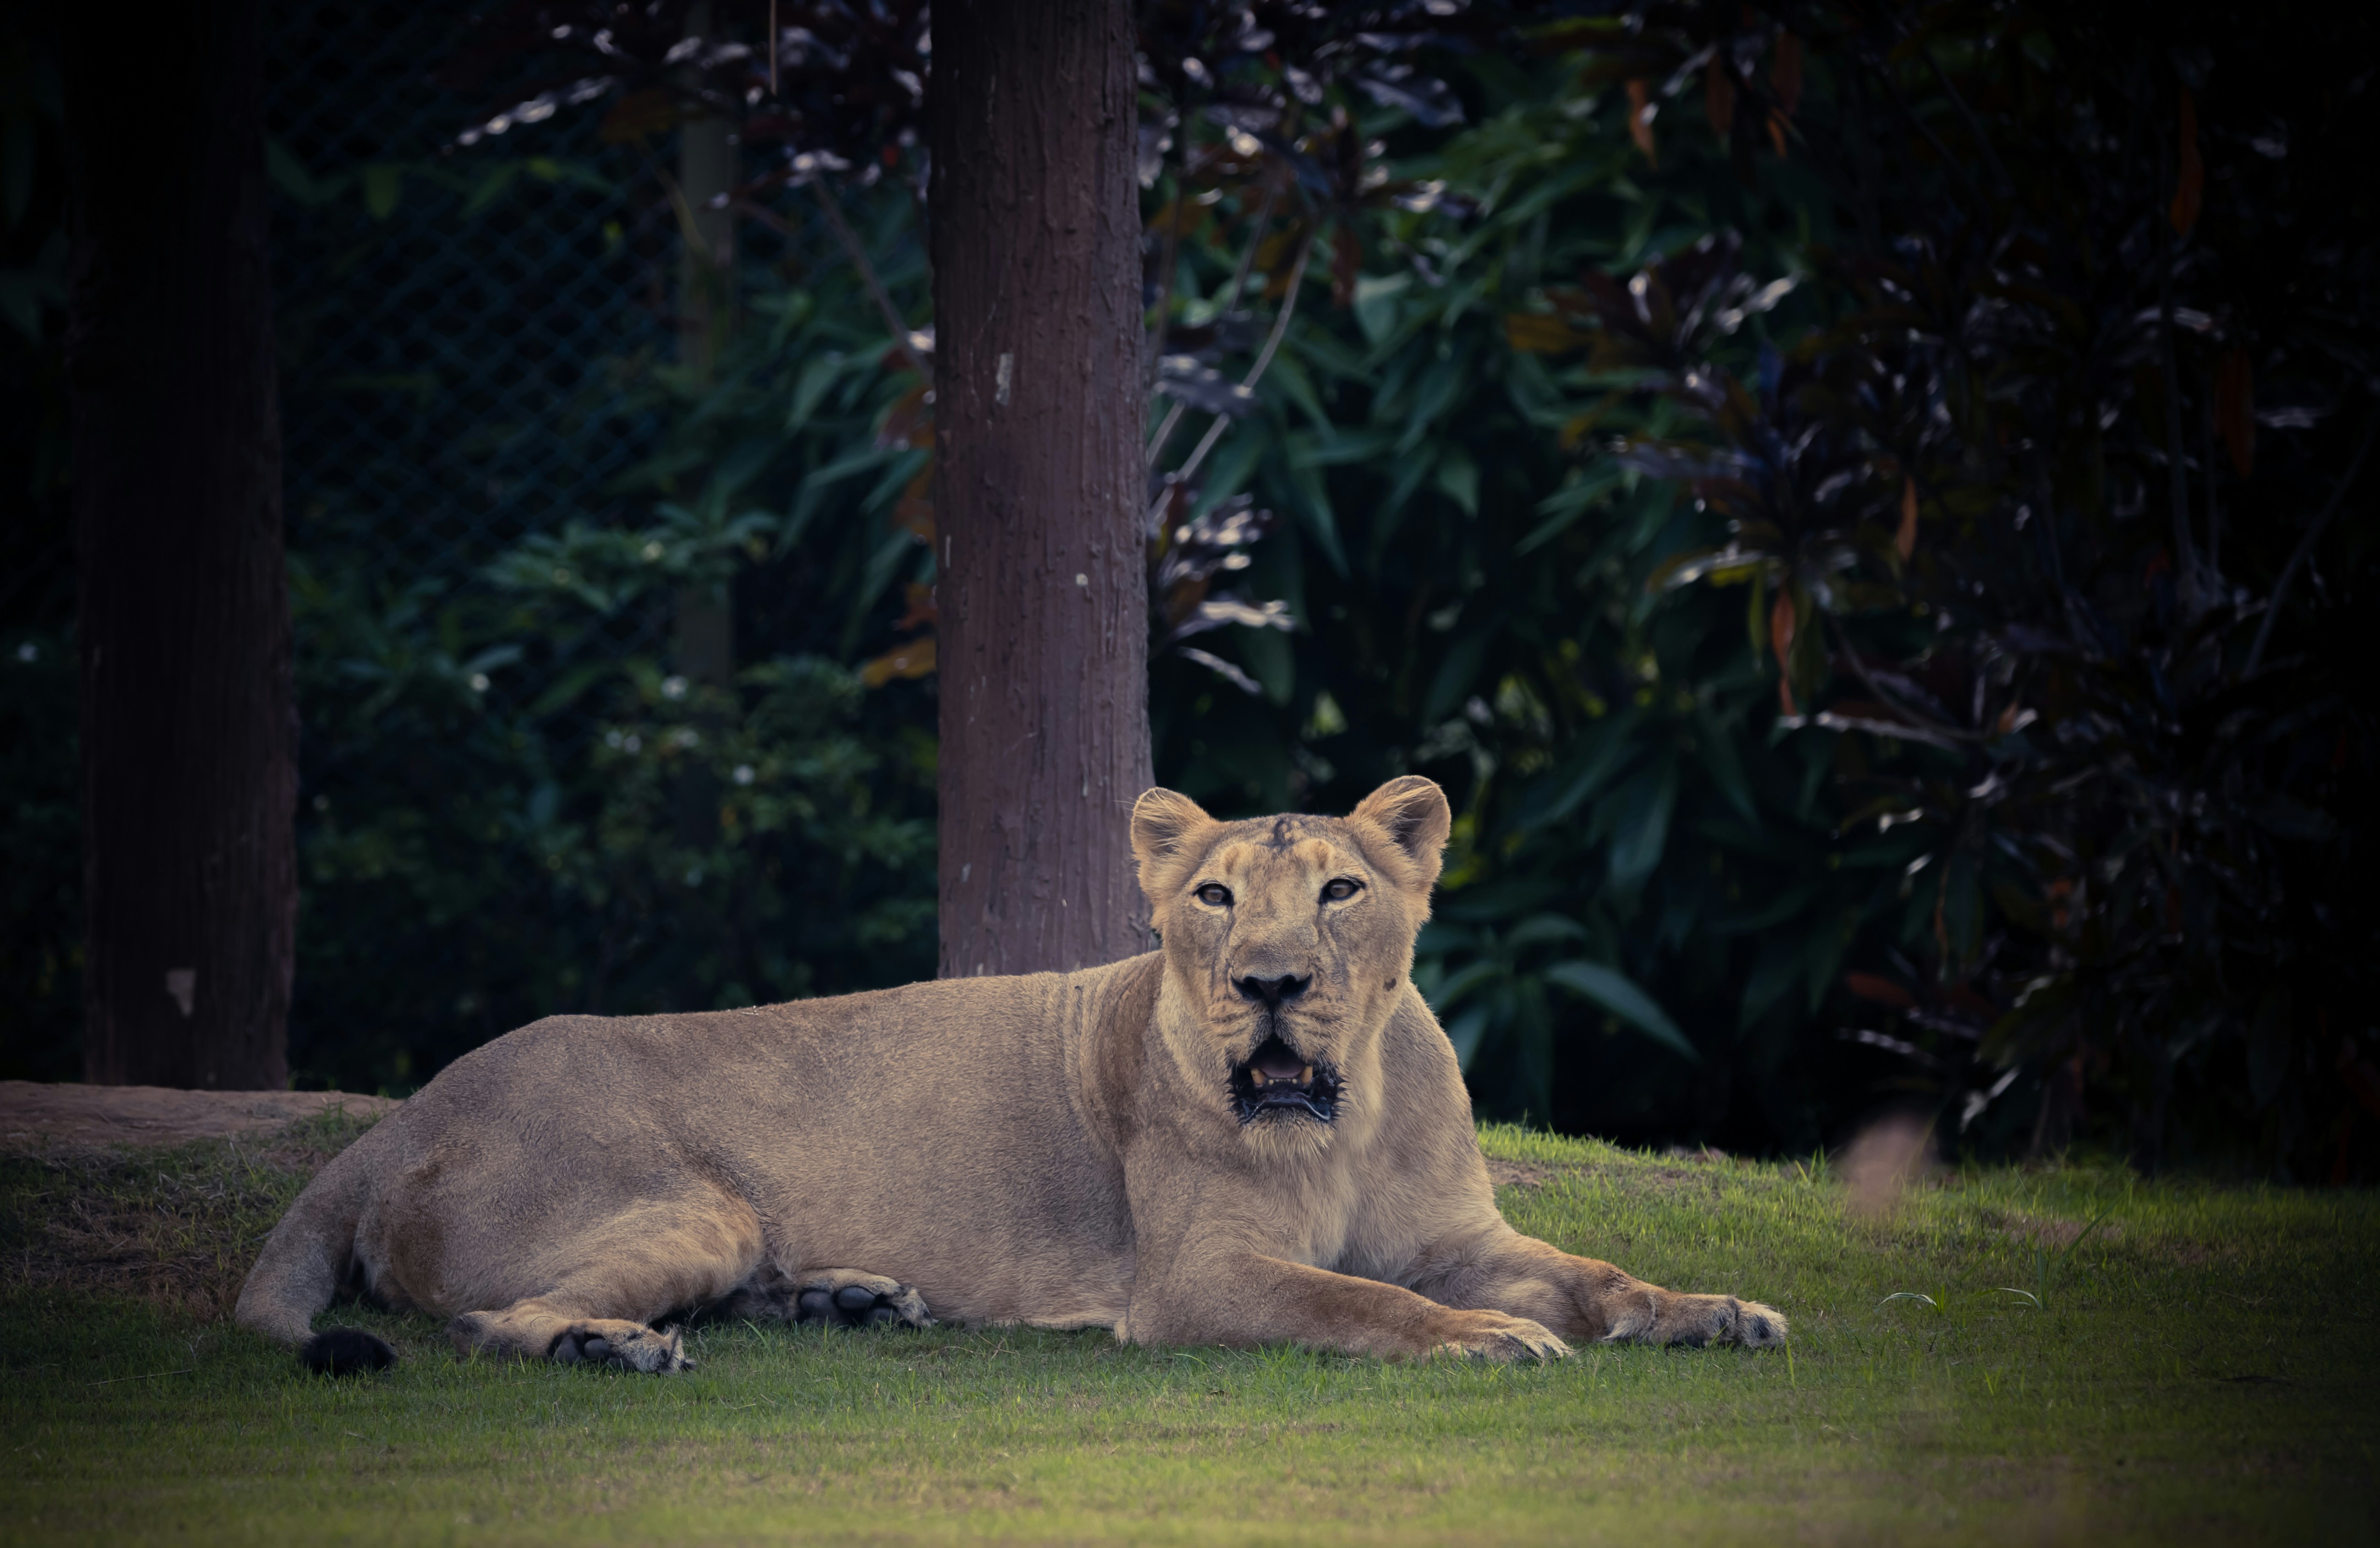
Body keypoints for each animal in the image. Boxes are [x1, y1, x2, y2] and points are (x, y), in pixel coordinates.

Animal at [237, 776, 1785, 1374]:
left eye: (1341, 890)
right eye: (1215, 897)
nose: (1269, 985)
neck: (1348, 1117)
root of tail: (402, 1116)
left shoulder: (1464, 1232)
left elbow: (1595, 1274)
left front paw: (1715, 1311)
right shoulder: (1198, 1278)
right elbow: (1361, 1299)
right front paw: (1481, 1340)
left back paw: (844, 1300)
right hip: (684, 1203)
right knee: (486, 1320)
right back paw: (612, 1346)